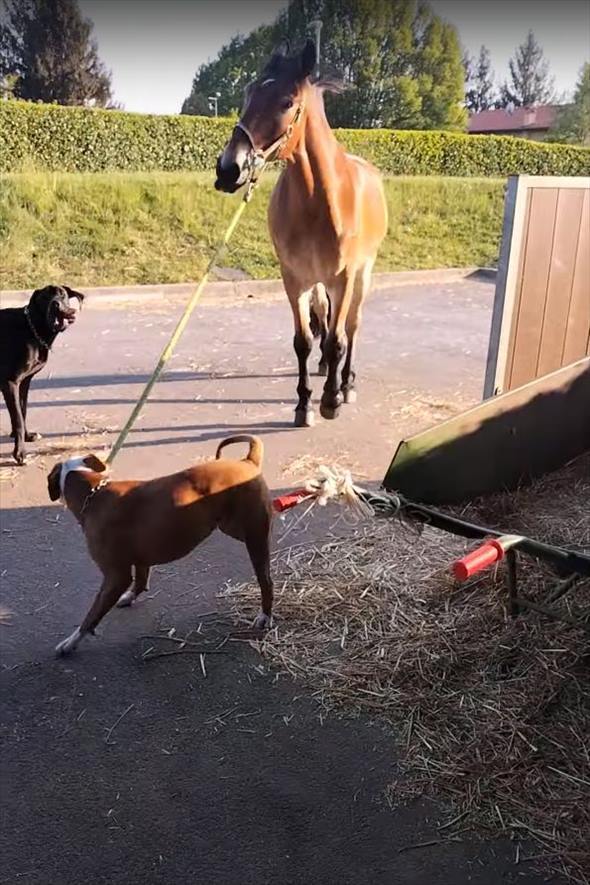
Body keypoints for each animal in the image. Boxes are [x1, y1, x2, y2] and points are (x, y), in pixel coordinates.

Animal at [0, 284, 84, 466]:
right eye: (44, 297)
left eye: (62, 294)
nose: (56, 305)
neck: (33, 329)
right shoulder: (11, 383)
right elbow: (17, 418)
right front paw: (20, 453)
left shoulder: (24, 382)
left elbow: (23, 411)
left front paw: (27, 435)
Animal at [48, 436, 276, 656]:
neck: (93, 493)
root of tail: (247, 461)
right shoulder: (139, 560)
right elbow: (140, 580)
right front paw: (130, 596)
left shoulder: (115, 577)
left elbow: (91, 616)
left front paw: (70, 643)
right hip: (233, 527)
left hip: (253, 536)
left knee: (266, 580)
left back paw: (264, 615)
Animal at [216, 39, 388, 426]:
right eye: (248, 92)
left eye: (286, 102)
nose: (228, 169)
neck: (319, 200)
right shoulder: (294, 278)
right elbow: (304, 341)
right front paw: (303, 403)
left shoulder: (344, 277)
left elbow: (338, 338)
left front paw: (330, 400)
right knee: (323, 317)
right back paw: (325, 368)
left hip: (363, 273)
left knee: (351, 326)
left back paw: (346, 382)